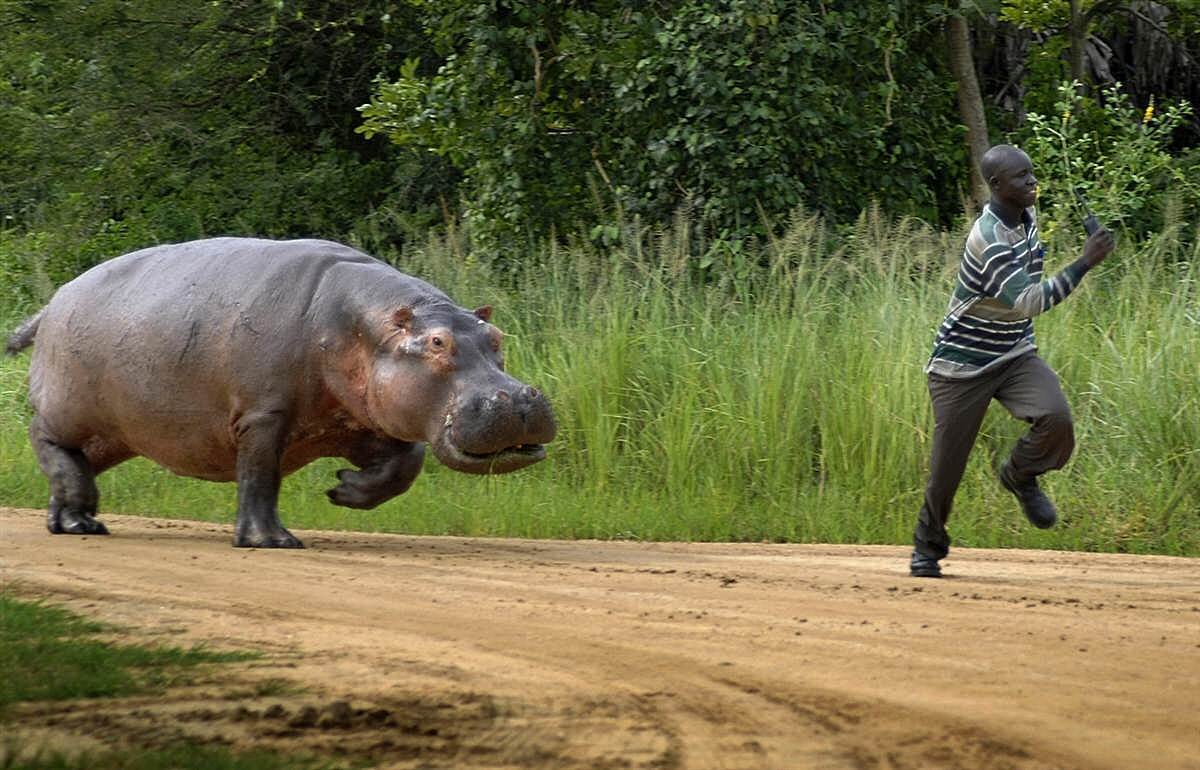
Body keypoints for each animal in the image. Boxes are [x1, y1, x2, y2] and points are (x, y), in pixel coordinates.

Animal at [3, 238, 556, 546]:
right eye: (438, 343)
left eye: (496, 337)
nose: (520, 398)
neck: (364, 328)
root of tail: (52, 302)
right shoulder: (263, 417)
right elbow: (259, 477)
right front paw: (272, 542)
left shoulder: (359, 420)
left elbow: (405, 466)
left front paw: (344, 490)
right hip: (72, 410)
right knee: (43, 437)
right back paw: (81, 519)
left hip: (120, 432)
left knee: (75, 464)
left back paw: (73, 522)